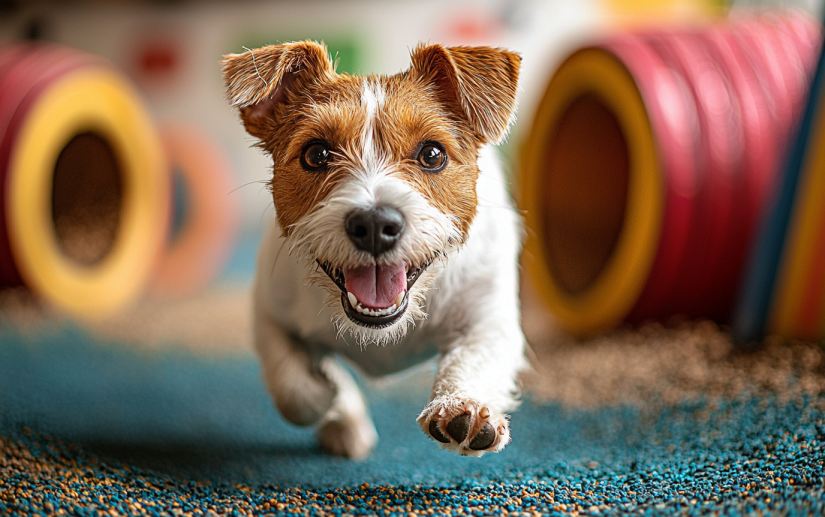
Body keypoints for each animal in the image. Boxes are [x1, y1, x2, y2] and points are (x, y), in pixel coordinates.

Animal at [222, 41, 524, 460]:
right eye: (316, 154)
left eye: (432, 154)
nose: (376, 226)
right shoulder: (269, 314)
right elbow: (293, 390)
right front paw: (330, 400)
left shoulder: (489, 320)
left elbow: (473, 359)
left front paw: (462, 406)